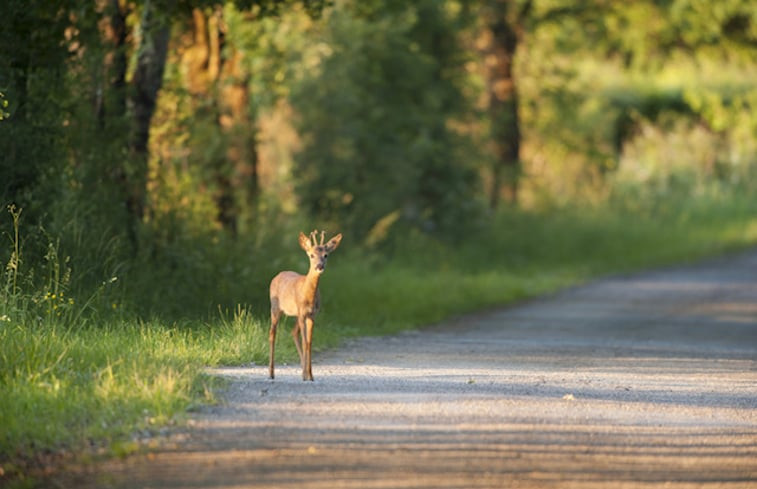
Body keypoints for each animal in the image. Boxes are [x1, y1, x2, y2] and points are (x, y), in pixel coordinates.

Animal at [268, 230, 342, 382]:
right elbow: (304, 341)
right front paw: (304, 375)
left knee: (293, 332)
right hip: (275, 308)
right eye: (311, 255)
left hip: (296, 314)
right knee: (272, 333)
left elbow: (309, 343)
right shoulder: (302, 313)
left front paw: (310, 375)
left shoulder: (311, 315)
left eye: (326, 255)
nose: (319, 266)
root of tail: (277, 275)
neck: (308, 295)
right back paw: (271, 373)